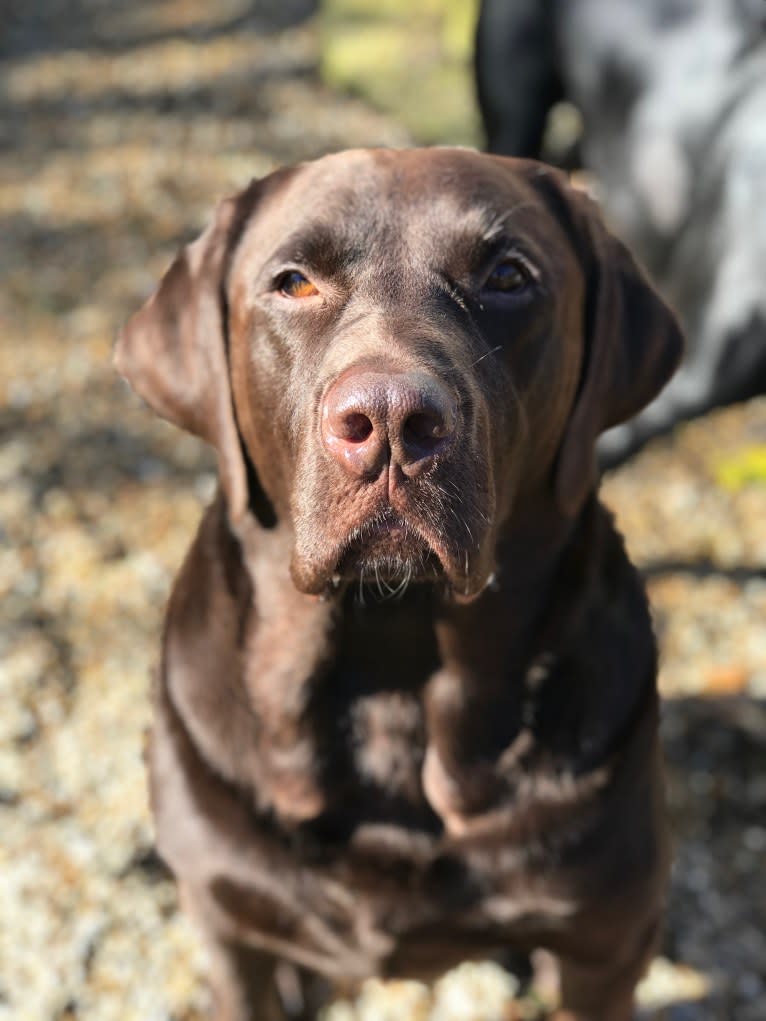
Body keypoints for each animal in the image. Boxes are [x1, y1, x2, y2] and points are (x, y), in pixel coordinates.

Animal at [115, 146, 682, 1021]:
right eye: (293, 282)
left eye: (508, 276)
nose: (388, 419)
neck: (393, 665)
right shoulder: (225, 922)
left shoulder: (605, 944)